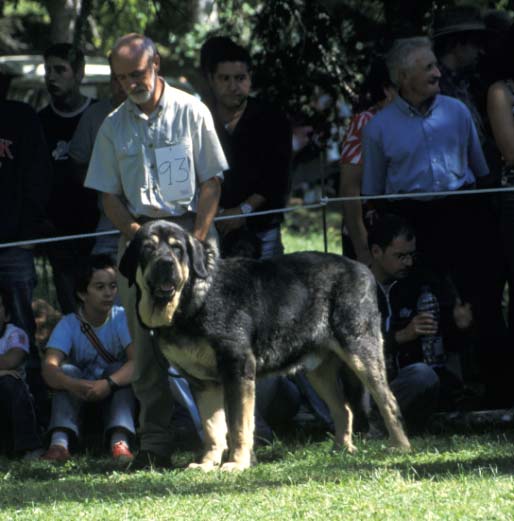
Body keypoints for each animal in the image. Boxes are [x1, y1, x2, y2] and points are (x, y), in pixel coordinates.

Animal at [119, 219, 408, 472]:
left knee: (388, 400)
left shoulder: (237, 371)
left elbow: (238, 425)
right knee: (344, 410)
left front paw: (236, 464)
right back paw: (341, 449)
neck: (193, 298)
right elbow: (213, 428)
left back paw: (399, 447)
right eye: (148, 248)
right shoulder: (203, 383)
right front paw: (207, 464)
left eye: (177, 248)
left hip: (361, 352)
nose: (166, 263)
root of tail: (364, 270)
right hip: (318, 371)